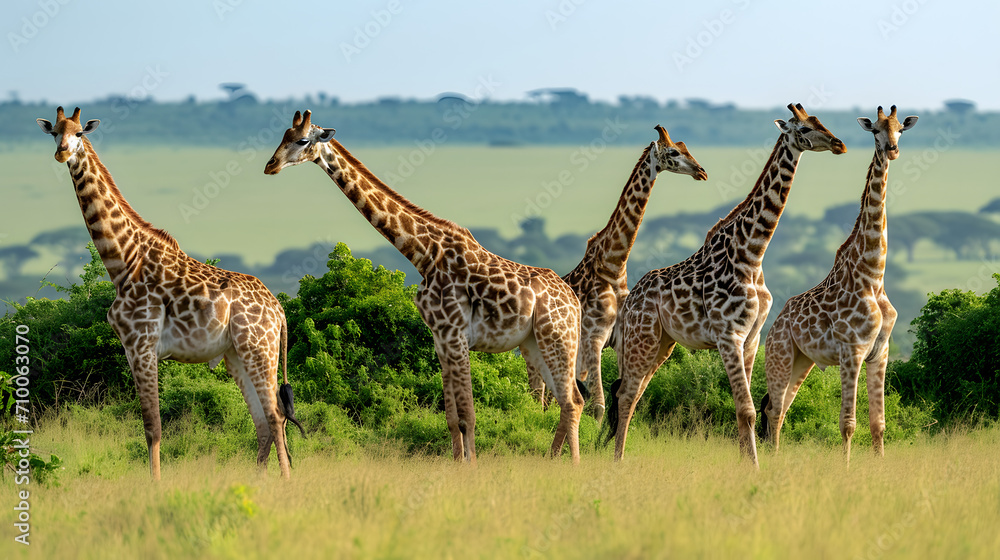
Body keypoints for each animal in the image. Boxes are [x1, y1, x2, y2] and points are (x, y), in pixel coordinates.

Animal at [37, 107, 303, 480]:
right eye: (54, 133)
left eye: (79, 133)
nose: (62, 153)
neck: (123, 260)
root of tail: (279, 311)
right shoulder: (134, 348)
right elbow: (151, 426)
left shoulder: (141, 344)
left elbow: (153, 427)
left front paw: (155, 486)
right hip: (236, 354)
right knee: (263, 421)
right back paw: (259, 481)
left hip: (258, 348)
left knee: (276, 416)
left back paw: (284, 482)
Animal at [264, 110, 584, 464]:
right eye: (283, 136)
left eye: (303, 140)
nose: (270, 165)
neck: (423, 253)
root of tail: (574, 300)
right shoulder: (440, 339)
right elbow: (452, 416)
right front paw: (458, 464)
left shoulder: (455, 335)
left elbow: (469, 414)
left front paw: (472, 467)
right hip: (533, 343)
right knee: (567, 400)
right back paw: (552, 459)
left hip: (558, 336)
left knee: (573, 401)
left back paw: (571, 464)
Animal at [527, 125, 708, 423]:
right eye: (673, 152)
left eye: (686, 147)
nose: (701, 171)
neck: (613, 265)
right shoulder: (593, 337)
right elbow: (599, 405)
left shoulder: (619, 338)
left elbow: (622, 396)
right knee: (537, 392)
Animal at [605, 103, 846, 467]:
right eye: (804, 129)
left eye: (821, 121)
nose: (838, 144)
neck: (752, 253)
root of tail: (628, 303)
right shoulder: (728, 335)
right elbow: (747, 410)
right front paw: (754, 468)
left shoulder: (751, 338)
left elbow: (743, 409)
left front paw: (747, 463)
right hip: (641, 338)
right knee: (626, 394)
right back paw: (618, 461)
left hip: (662, 343)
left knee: (631, 394)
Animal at [760, 106, 917, 463]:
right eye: (875, 130)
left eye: (900, 129)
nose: (892, 150)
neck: (873, 275)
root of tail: (776, 323)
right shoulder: (852, 350)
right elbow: (848, 424)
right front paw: (845, 469)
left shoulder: (880, 352)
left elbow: (878, 424)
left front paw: (879, 466)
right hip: (780, 354)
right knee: (774, 410)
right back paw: (772, 460)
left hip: (802, 362)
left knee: (782, 409)